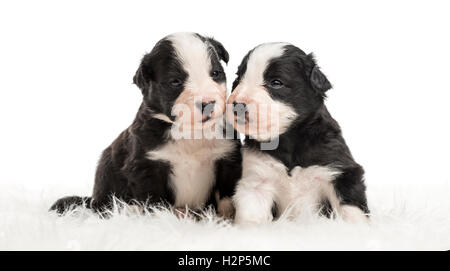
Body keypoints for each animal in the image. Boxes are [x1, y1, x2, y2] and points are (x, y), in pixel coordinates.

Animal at [50, 32, 243, 219]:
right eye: (175, 81)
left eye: (215, 73)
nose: (207, 103)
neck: (190, 134)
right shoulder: (146, 166)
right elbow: (155, 203)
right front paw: (161, 220)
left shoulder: (228, 159)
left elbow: (226, 198)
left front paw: (224, 219)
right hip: (106, 167)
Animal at [227, 43, 368, 225]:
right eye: (238, 79)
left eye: (276, 82)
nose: (237, 104)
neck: (288, 139)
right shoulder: (256, 181)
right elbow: (250, 214)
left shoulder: (339, 170)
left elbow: (350, 208)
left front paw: (356, 227)